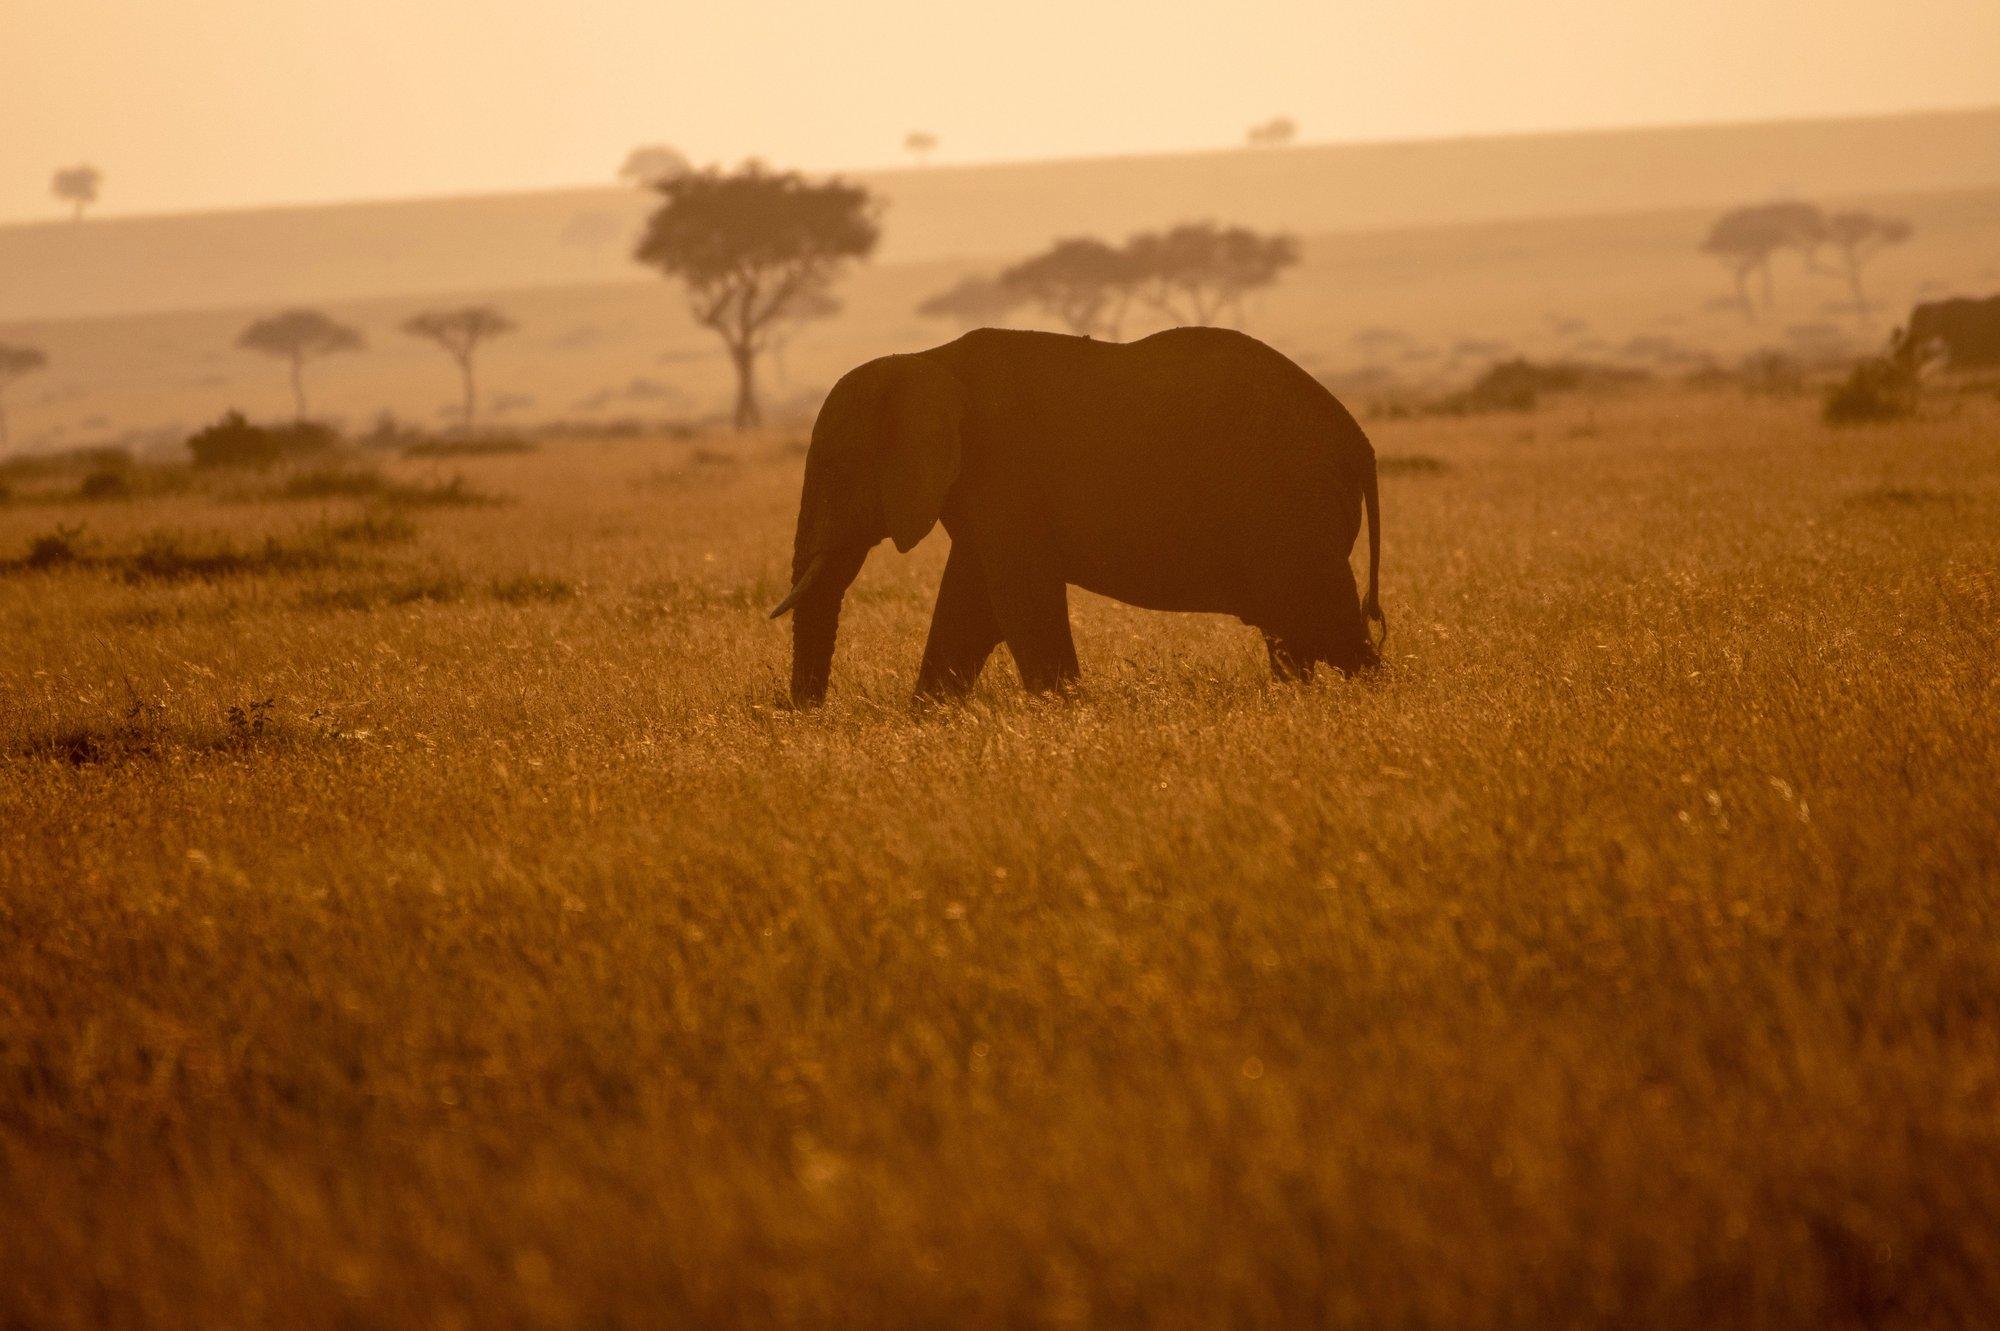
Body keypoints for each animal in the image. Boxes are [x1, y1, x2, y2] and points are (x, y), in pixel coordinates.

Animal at [772, 325, 1384, 703]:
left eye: (836, 471)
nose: (807, 715)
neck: (924, 360)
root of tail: (1360, 443)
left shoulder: (1005, 473)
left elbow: (1018, 603)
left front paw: (1065, 717)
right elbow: (969, 610)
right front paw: (926, 722)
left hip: (1296, 512)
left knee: (1329, 628)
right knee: (1298, 635)